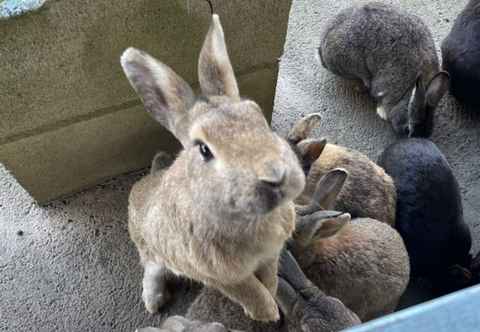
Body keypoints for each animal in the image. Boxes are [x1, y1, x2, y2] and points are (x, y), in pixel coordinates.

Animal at [122, 14, 306, 322]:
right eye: (204, 149)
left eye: (257, 114)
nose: (276, 176)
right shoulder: (220, 276)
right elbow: (250, 291)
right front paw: (268, 313)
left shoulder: (271, 254)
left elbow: (269, 276)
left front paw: (272, 293)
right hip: (150, 248)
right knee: (151, 269)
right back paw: (153, 302)